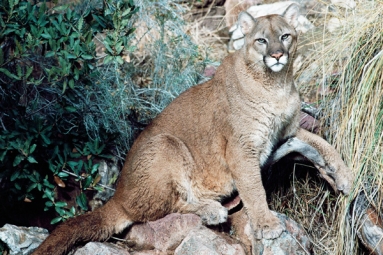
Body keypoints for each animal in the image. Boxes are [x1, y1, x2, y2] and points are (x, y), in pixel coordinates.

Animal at [33, 4, 354, 255]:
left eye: (285, 36)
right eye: (261, 40)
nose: (277, 55)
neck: (276, 85)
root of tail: (118, 194)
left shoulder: (288, 131)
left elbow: (323, 143)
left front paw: (345, 176)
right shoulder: (241, 149)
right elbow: (254, 189)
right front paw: (266, 223)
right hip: (166, 143)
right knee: (161, 208)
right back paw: (212, 210)